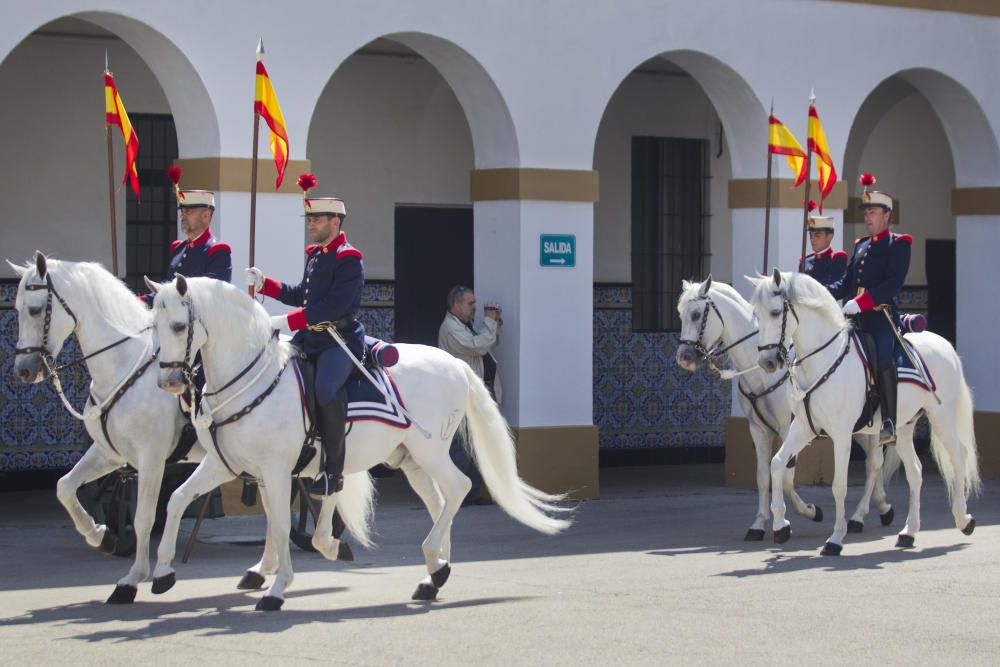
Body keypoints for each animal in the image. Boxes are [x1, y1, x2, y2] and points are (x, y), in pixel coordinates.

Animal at [10, 252, 189, 604]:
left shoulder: (152, 459)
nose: (23, 370)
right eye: (16, 307)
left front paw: (136, 576)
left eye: (35, 309)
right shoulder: (111, 454)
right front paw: (100, 535)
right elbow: (64, 487)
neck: (125, 364)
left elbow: (143, 516)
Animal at [145, 276, 576, 612]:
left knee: (459, 488)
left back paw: (434, 563)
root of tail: (455, 363)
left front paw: (278, 588)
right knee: (439, 502)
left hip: (430, 452)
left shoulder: (276, 469)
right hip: (411, 461)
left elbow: (281, 524)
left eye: (179, 326)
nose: (168, 382)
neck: (253, 377)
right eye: (153, 325)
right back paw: (435, 575)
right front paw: (164, 573)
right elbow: (178, 500)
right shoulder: (227, 465)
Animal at [672, 276, 892, 544]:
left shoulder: (789, 427)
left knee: (874, 463)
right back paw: (882, 506)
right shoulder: (758, 430)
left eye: (695, 315)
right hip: (859, 429)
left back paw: (862, 515)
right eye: (680, 313)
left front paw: (806, 513)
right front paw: (759, 523)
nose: (683, 358)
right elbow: (762, 476)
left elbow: (787, 478)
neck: (763, 375)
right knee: (875, 462)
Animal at [752, 268, 976, 556]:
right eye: (756, 314)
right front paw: (781, 526)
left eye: (775, 312)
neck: (821, 360)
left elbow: (839, 486)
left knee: (959, 455)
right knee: (915, 471)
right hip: (903, 427)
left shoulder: (841, 433)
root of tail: (945, 345)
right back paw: (909, 532)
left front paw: (835, 539)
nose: (767, 363)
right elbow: (777, 464)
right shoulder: (803, 427)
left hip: (942, 417)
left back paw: (963, 519)